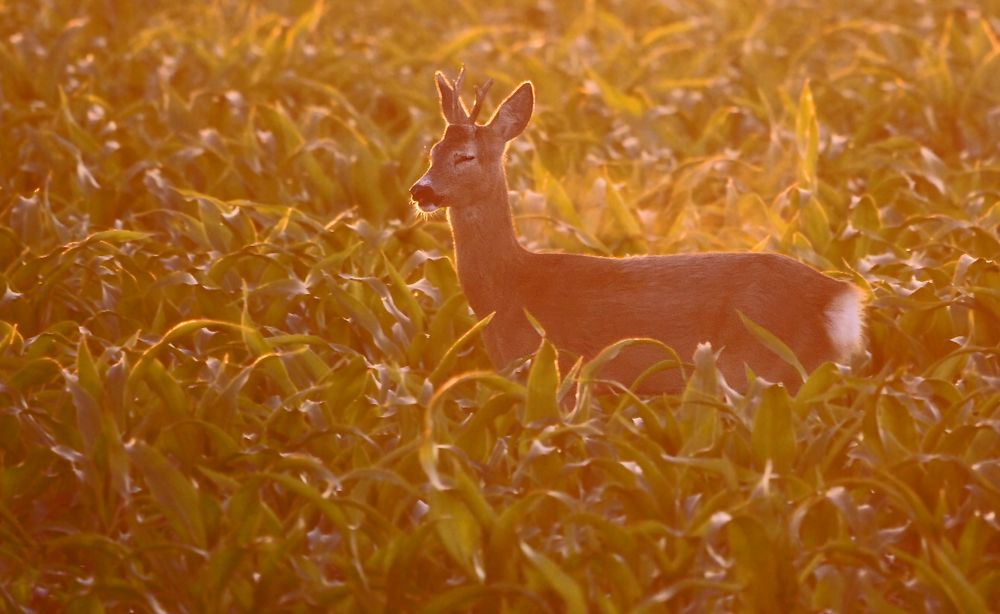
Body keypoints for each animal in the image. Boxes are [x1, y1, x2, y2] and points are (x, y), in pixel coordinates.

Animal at [410, 68, 864, 394]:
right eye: (433, 151)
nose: (421, 190)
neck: (511, 290)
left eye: (466, 156)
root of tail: (836, 297)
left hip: (757, 367)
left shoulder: (558, 370)